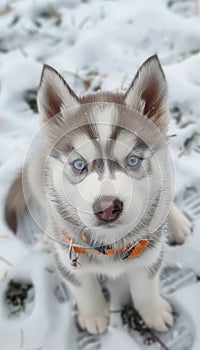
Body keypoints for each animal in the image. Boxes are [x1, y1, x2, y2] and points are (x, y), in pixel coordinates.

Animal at [4, 54, 192, 334]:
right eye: (79, 164)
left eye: (133, 160)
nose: (107, 208)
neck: (111, 243)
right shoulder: (68, 260)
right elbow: (84, 288)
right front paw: (93, 315)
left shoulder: (149, 255)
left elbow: (145, 287)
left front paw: (153, 312)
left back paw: (177, 222)